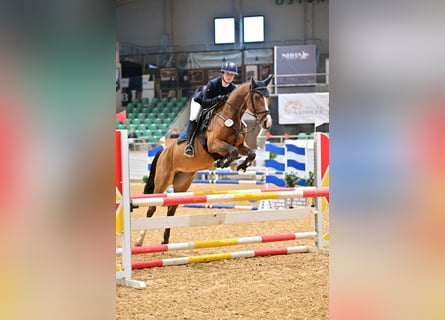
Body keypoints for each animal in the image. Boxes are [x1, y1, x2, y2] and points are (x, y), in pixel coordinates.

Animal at [134, 75, 274, 245]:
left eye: (268, 97)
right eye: (256, 97)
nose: (267, 122)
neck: (230, 117)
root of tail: (164, 150)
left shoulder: (241, 145)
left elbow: (250, 153)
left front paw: (240, 165)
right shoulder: (214, 144)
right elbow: (232, 151)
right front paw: (223, 162)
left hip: (182, 182)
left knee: (171, 208)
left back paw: (165, 240)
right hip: (163, 180)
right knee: (152, 207)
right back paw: (139, 240)